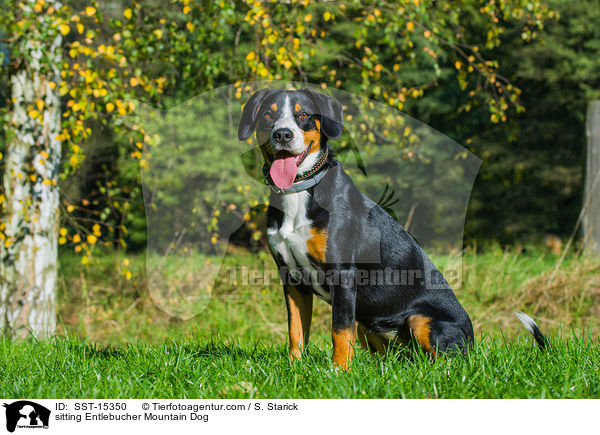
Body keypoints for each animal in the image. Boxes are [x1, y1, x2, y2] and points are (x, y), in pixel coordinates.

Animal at [239, 88, 544, 372]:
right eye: (268, 114)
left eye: (303, 115)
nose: (283, 134)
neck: (299, 193)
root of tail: (472, 341)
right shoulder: (292, 278)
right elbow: (296, 331)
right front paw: (295, 368)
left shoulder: (342, 275)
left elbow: (339, 331)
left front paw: (338, 371)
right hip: (367, 324)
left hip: (422, 320)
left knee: (448, 363)